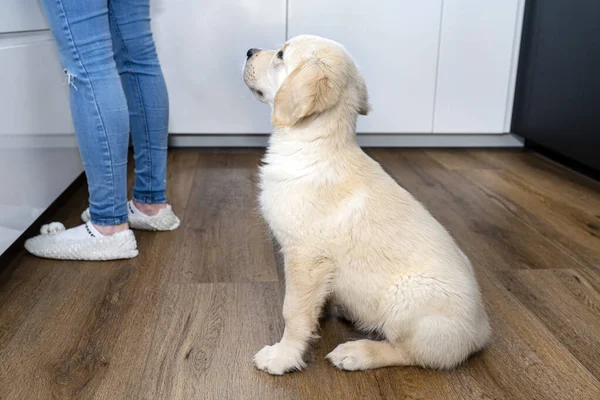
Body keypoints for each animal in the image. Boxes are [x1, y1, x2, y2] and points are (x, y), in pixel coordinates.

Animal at [241, 34, 490, 376]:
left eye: (280, 54)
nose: (248, 51)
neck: (313, 145)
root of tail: (481, 332)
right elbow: (311, 305)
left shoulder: (304, 256)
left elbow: (293, 311)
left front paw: (283, 356)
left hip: (407, 298)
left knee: (412, 352)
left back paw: (356, 353)